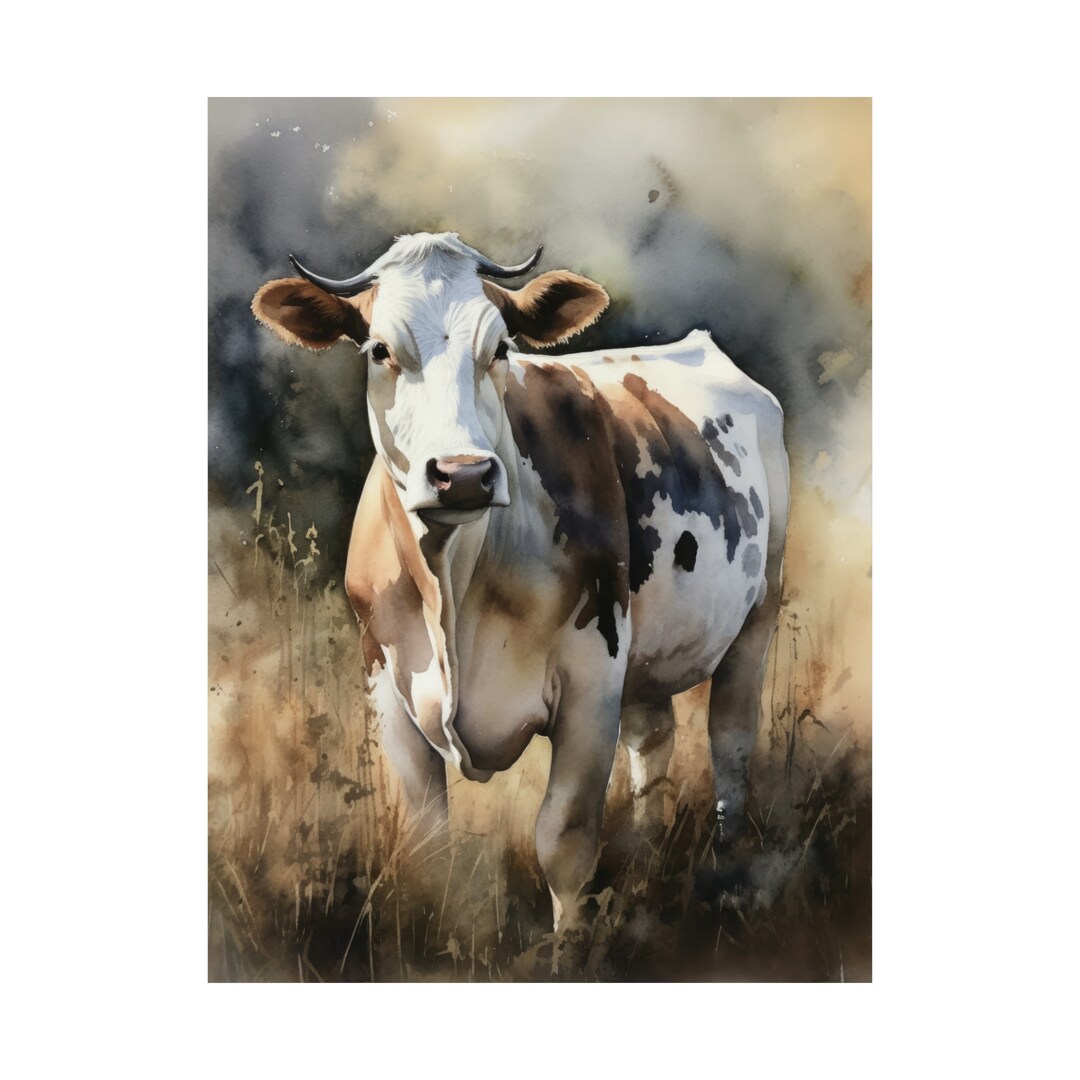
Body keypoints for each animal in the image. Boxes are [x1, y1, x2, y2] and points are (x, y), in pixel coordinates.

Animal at [252, 232, 789, 932]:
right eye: (378, 350)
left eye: (501, 347)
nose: (463, 474)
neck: (454, 586)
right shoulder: (386, 685)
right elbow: (428, 841)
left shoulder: (591, 682)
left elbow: (563, 839)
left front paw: (569, 946)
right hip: (644, 649)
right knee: (653, 742)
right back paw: (647, 854)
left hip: (757, 614)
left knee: (730, 742)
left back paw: (724, 872)